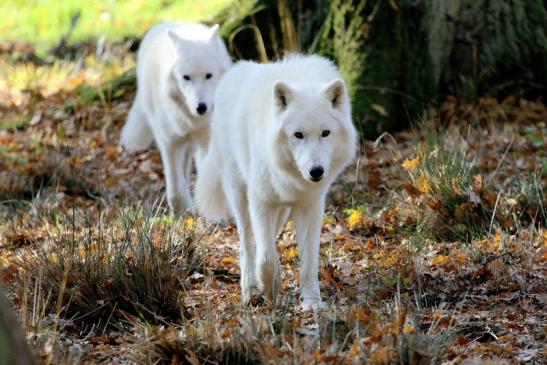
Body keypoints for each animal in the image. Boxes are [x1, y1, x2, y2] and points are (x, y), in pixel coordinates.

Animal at [120, 22, 231, 213]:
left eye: (208, 75)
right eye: (186, 77)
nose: (201, 107)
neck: (191, 122)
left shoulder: (207, 140)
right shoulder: (169, 143)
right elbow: (175, 187)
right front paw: (182, 214)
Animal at [195, 54, 358, 310]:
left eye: (325, 133)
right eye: (298, 135)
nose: (316, 171)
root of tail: (234, 71)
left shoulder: (310, 206)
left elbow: (308, 261)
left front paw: (312, 302)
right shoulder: (261, 202)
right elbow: (265, 257)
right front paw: (269, 291)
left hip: (281, 210)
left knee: (269, 238)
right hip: (240, 196)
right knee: (247, 245)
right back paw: (249, 289)